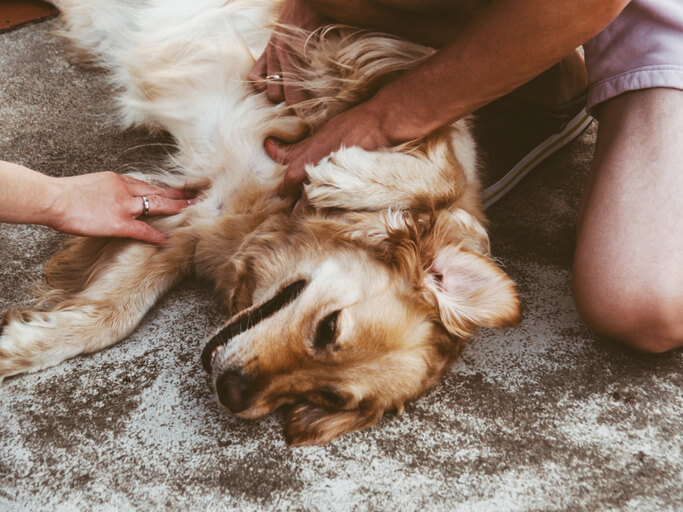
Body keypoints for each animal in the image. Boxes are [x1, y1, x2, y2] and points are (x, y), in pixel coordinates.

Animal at [0, 0, 520, 446]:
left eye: (326, 396)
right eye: (329, 328)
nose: (232, 393)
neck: (275, 218)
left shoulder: (180, 218)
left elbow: (113, 315)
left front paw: (25, 343)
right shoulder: (362, 62)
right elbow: (446, 169)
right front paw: (346, 176)